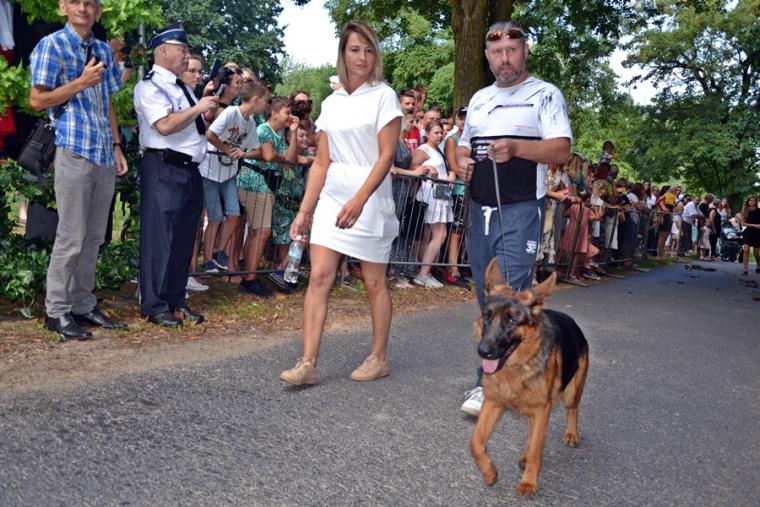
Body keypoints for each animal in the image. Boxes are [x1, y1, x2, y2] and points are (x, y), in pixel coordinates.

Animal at [470, 258, 589, 497]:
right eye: (487, 316)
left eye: (512, 320)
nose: (483, 351)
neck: (516, 366)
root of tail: (573, 322)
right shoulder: (493, 402)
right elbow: (476, 441)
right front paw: (489, 472)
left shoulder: (542, 408)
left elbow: (537, 450)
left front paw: (528, 483)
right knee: (531, 431)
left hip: (570, 392)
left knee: (573, 409)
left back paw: (571, 434)